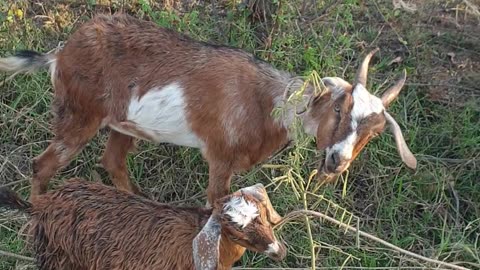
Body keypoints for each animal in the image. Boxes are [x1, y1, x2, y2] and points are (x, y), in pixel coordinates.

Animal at [0, 13, 416, 202]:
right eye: (340, 108)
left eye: (375, 132)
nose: (336, 161)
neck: (266, 104)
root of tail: (60, 54)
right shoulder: (221, 156)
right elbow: (218, 207)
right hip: (80, 114)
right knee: (42, 165)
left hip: (123, 123)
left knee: (112, 161)